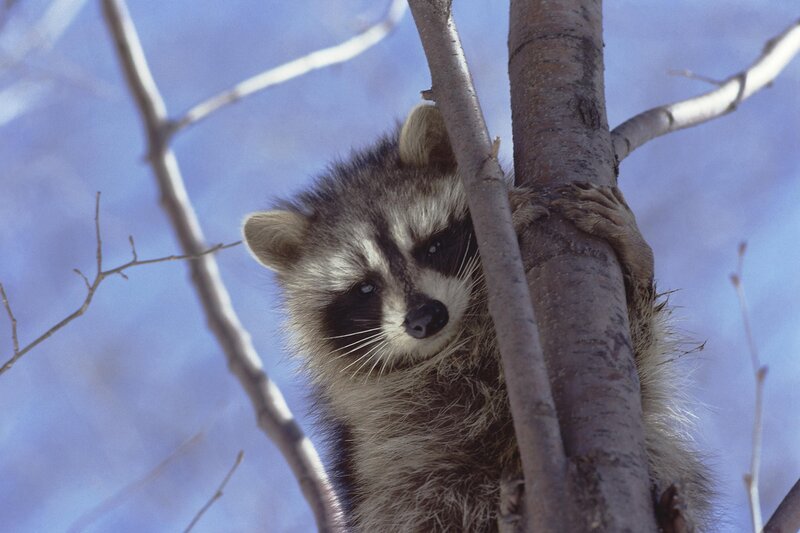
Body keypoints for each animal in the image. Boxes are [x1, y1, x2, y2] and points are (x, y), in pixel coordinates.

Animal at [243, 105, 711, 531]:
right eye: (365, 289)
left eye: (432, 246)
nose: (425, 318)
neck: (461, 337)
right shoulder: (386, 418)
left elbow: (641, 367)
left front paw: (636, 262)